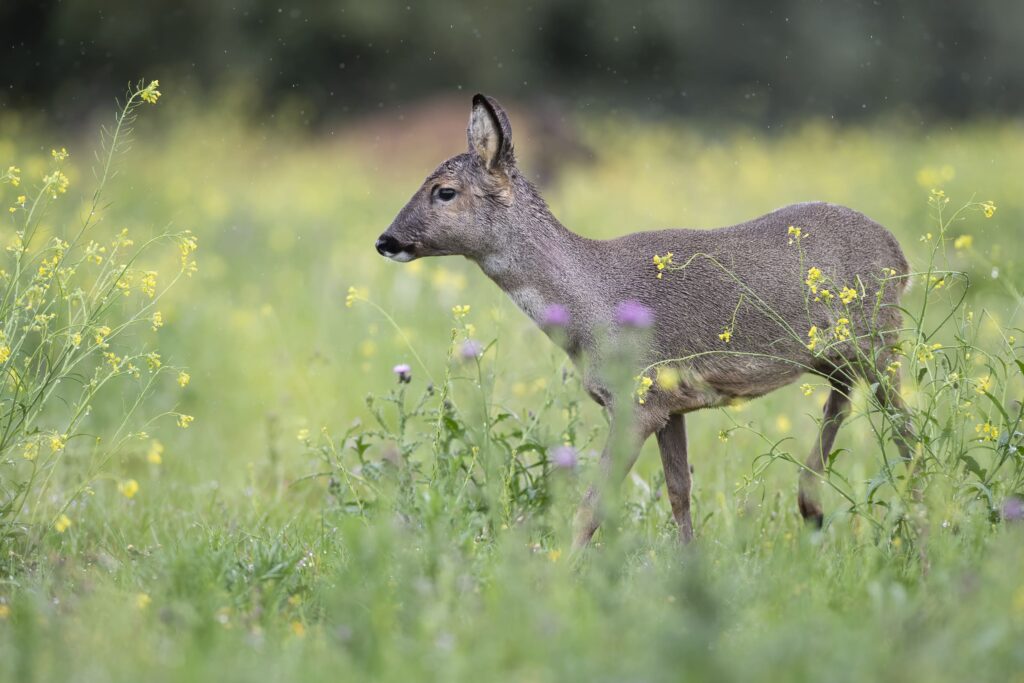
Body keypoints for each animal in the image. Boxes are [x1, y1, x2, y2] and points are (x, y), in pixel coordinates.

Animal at [376, 94, 914, 548]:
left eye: (445, 191)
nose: (386, 240)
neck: (589, 302)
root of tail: (900, 253)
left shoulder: (637, 398)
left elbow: (593, 506)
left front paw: (558, 573)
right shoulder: (668, 404)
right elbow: (679, 493)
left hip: (879, 340)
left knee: (905, 431)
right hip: (838, 355)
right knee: (844, 402)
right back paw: (813, 509)